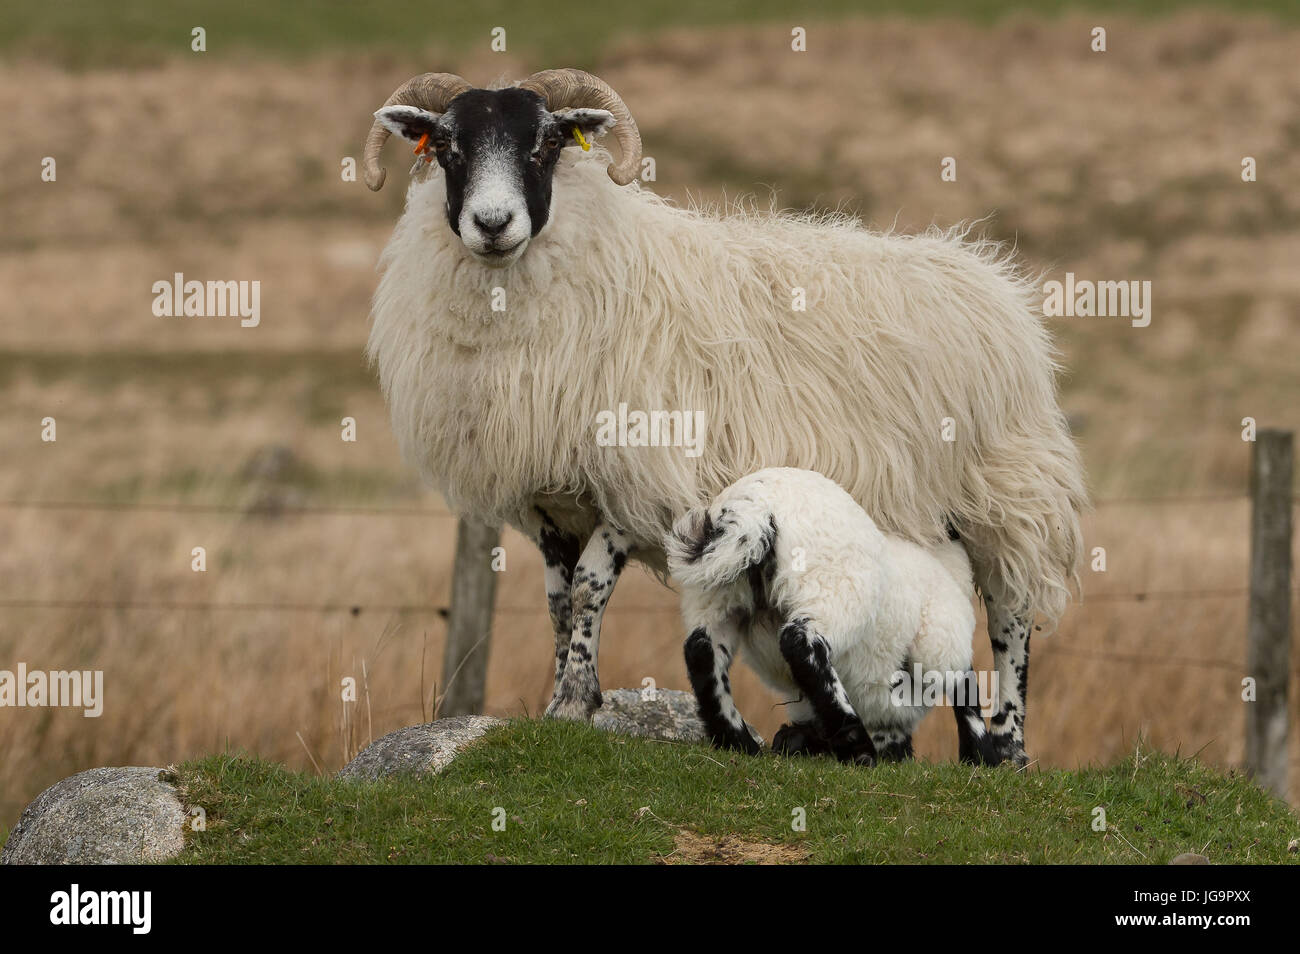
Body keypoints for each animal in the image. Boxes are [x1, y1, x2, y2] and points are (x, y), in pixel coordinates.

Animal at [665, 467, 987, 764]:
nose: (899, 753)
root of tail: (755, 509)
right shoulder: (943, 637)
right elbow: (967, 692)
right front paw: (984, 756)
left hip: (716, 595)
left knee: (702, 651)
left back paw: (740, 742)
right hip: (831, 593)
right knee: (801, 643)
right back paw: (857, 747)